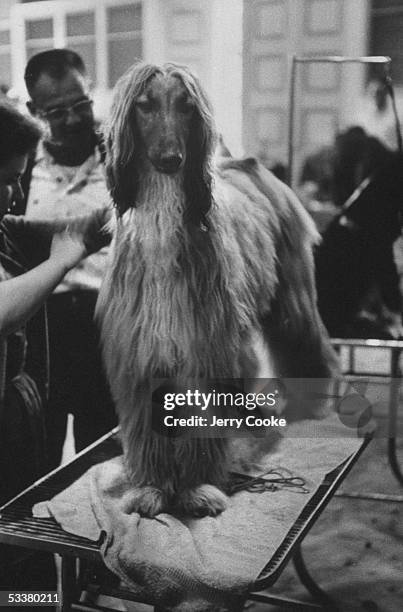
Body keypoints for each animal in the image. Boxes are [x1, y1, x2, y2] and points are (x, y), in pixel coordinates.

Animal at [96, 61, 340, 516]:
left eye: (187, 106)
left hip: (290, 291)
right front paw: (152, 486)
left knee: (304, 336)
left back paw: (314, 398)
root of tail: (242, 163)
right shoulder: (143, 349)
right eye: (144, 105)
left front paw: (196, 487)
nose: (171, 159)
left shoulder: (204, 346)